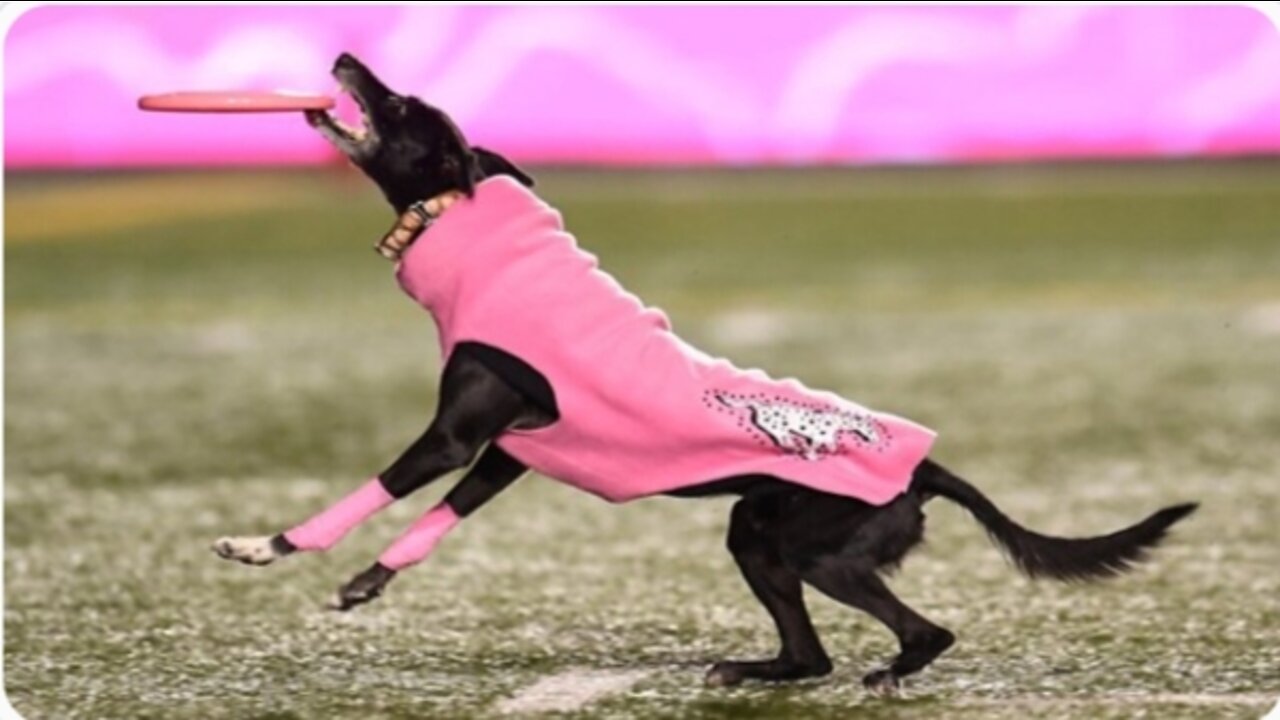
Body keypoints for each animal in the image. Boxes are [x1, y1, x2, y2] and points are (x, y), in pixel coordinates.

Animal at [212, 53, 1198, 691]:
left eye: (404, 106)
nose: (346, 57)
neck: (464, 226)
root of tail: (926, 465)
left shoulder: (457, 435)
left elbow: (370, 493)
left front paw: (267, 546)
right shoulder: (512, 453)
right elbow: (433, 522)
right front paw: (370, 581)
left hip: (815, 546)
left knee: (925, 632)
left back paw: (888, 671)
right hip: (758, 537)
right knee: (809, 657)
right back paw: (759, 672)